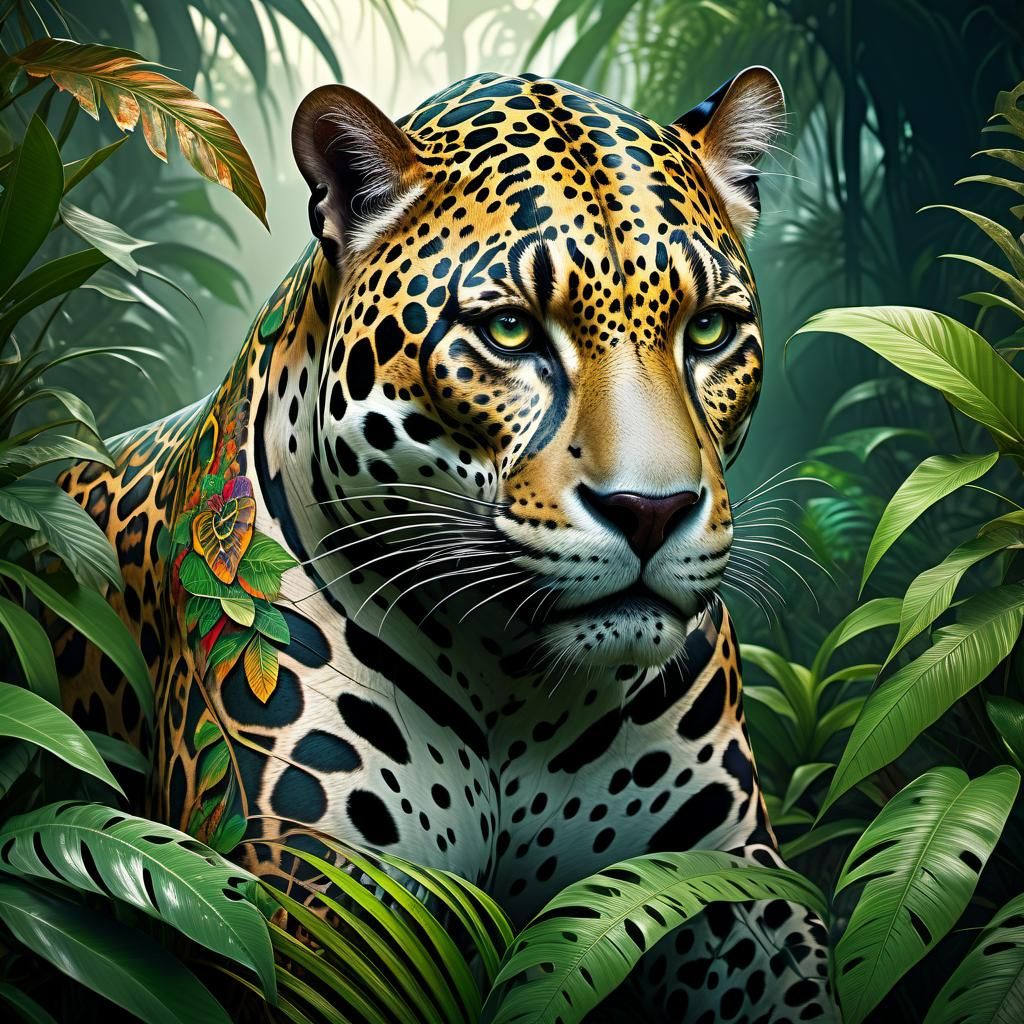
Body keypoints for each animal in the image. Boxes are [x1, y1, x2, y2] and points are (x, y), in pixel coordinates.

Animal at [57, 68, 837, 1022]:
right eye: (509, 333)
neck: (515, 680)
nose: (651, 512)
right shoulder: (298, 887)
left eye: (710, 331)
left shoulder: (721, 874)